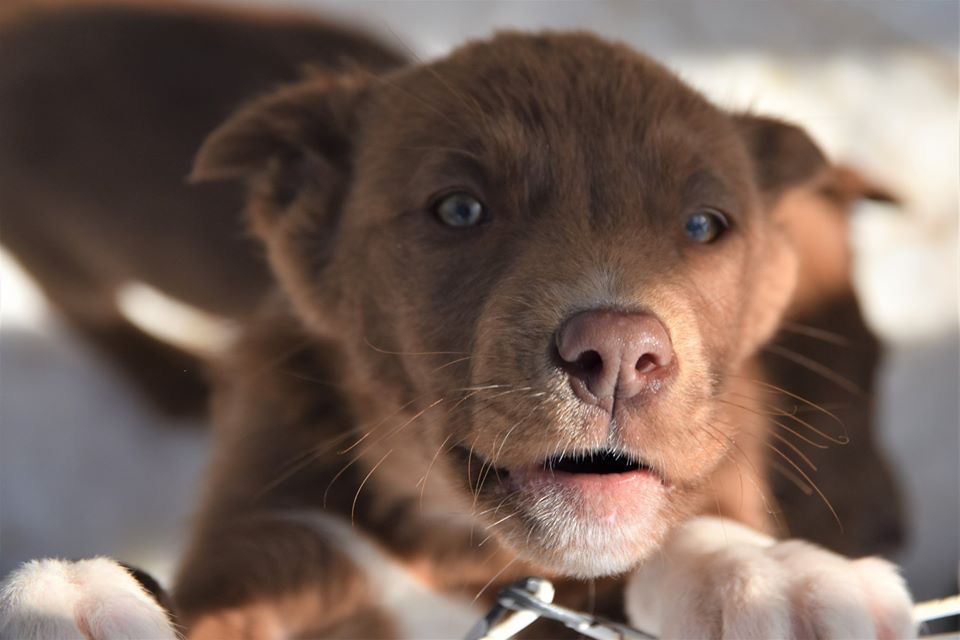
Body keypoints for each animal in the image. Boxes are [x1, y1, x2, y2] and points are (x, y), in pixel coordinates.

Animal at [0, 4, 914, 638]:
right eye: (460, 209)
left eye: (703, 225)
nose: (619, 353)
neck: (452, 543)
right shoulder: (277, 542)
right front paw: (70, 599)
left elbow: (673, 534)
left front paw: (770, 578)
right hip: (54, 246)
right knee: (90, 311)